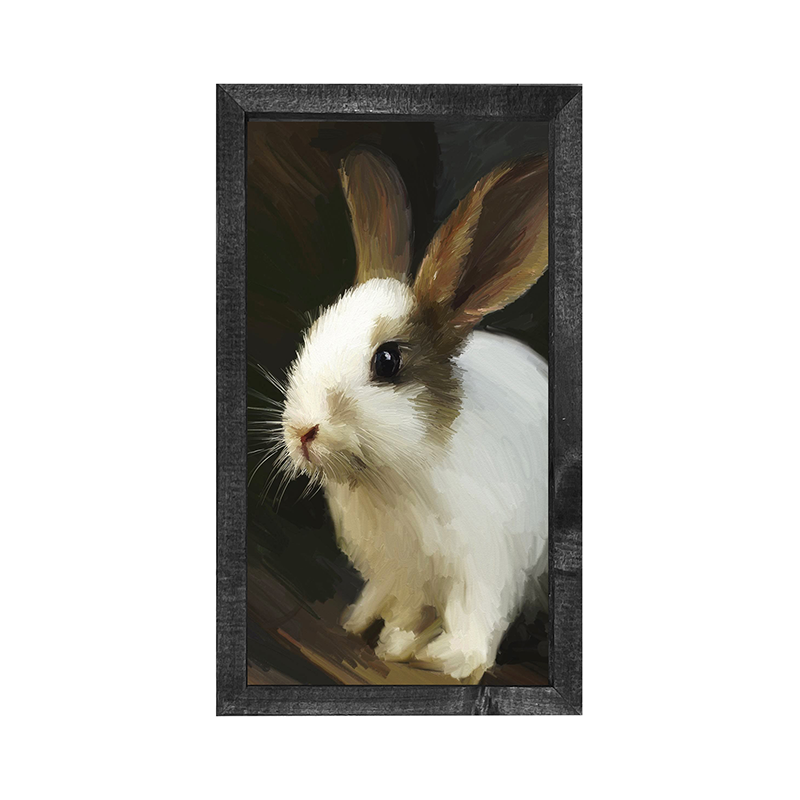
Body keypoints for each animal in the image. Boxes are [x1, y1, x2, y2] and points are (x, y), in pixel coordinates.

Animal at [277, 146, 549, 681]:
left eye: (387, 361)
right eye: (314, 330)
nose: (302, 431)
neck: (394, 476)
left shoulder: (484, 566)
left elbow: (475, 620)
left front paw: (448, 659)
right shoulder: (399, 573)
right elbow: (404, 609)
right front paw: (391, 641)